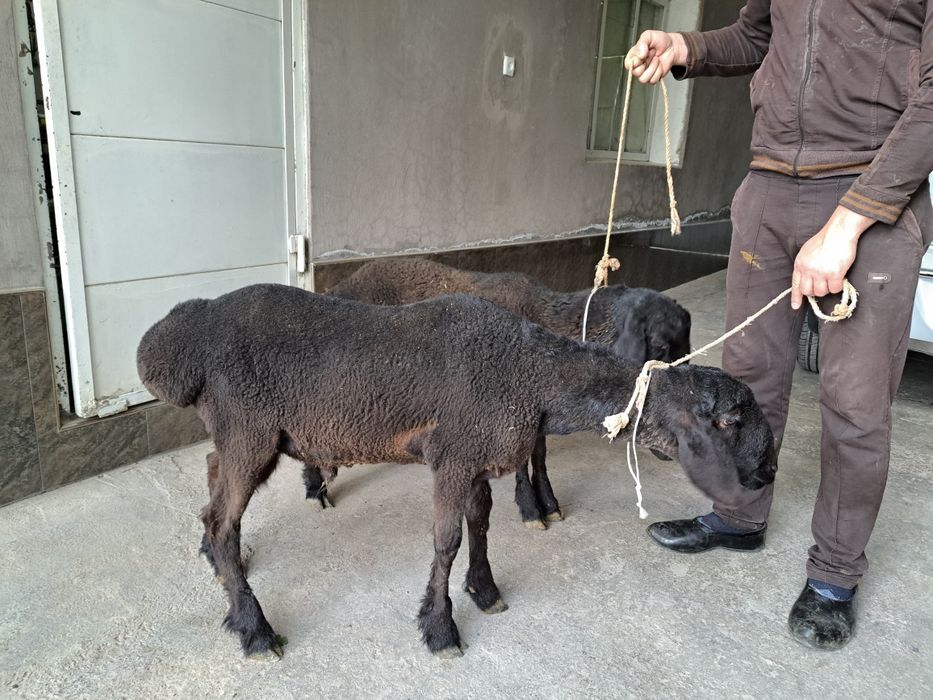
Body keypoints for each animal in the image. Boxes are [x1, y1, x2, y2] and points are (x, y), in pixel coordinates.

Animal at [304, 257, 692, 528]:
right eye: (658, 347)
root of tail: (336, 288)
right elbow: (522, 459)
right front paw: (531, 510)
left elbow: (539, 454)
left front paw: (549, 504)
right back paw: (314, 489)